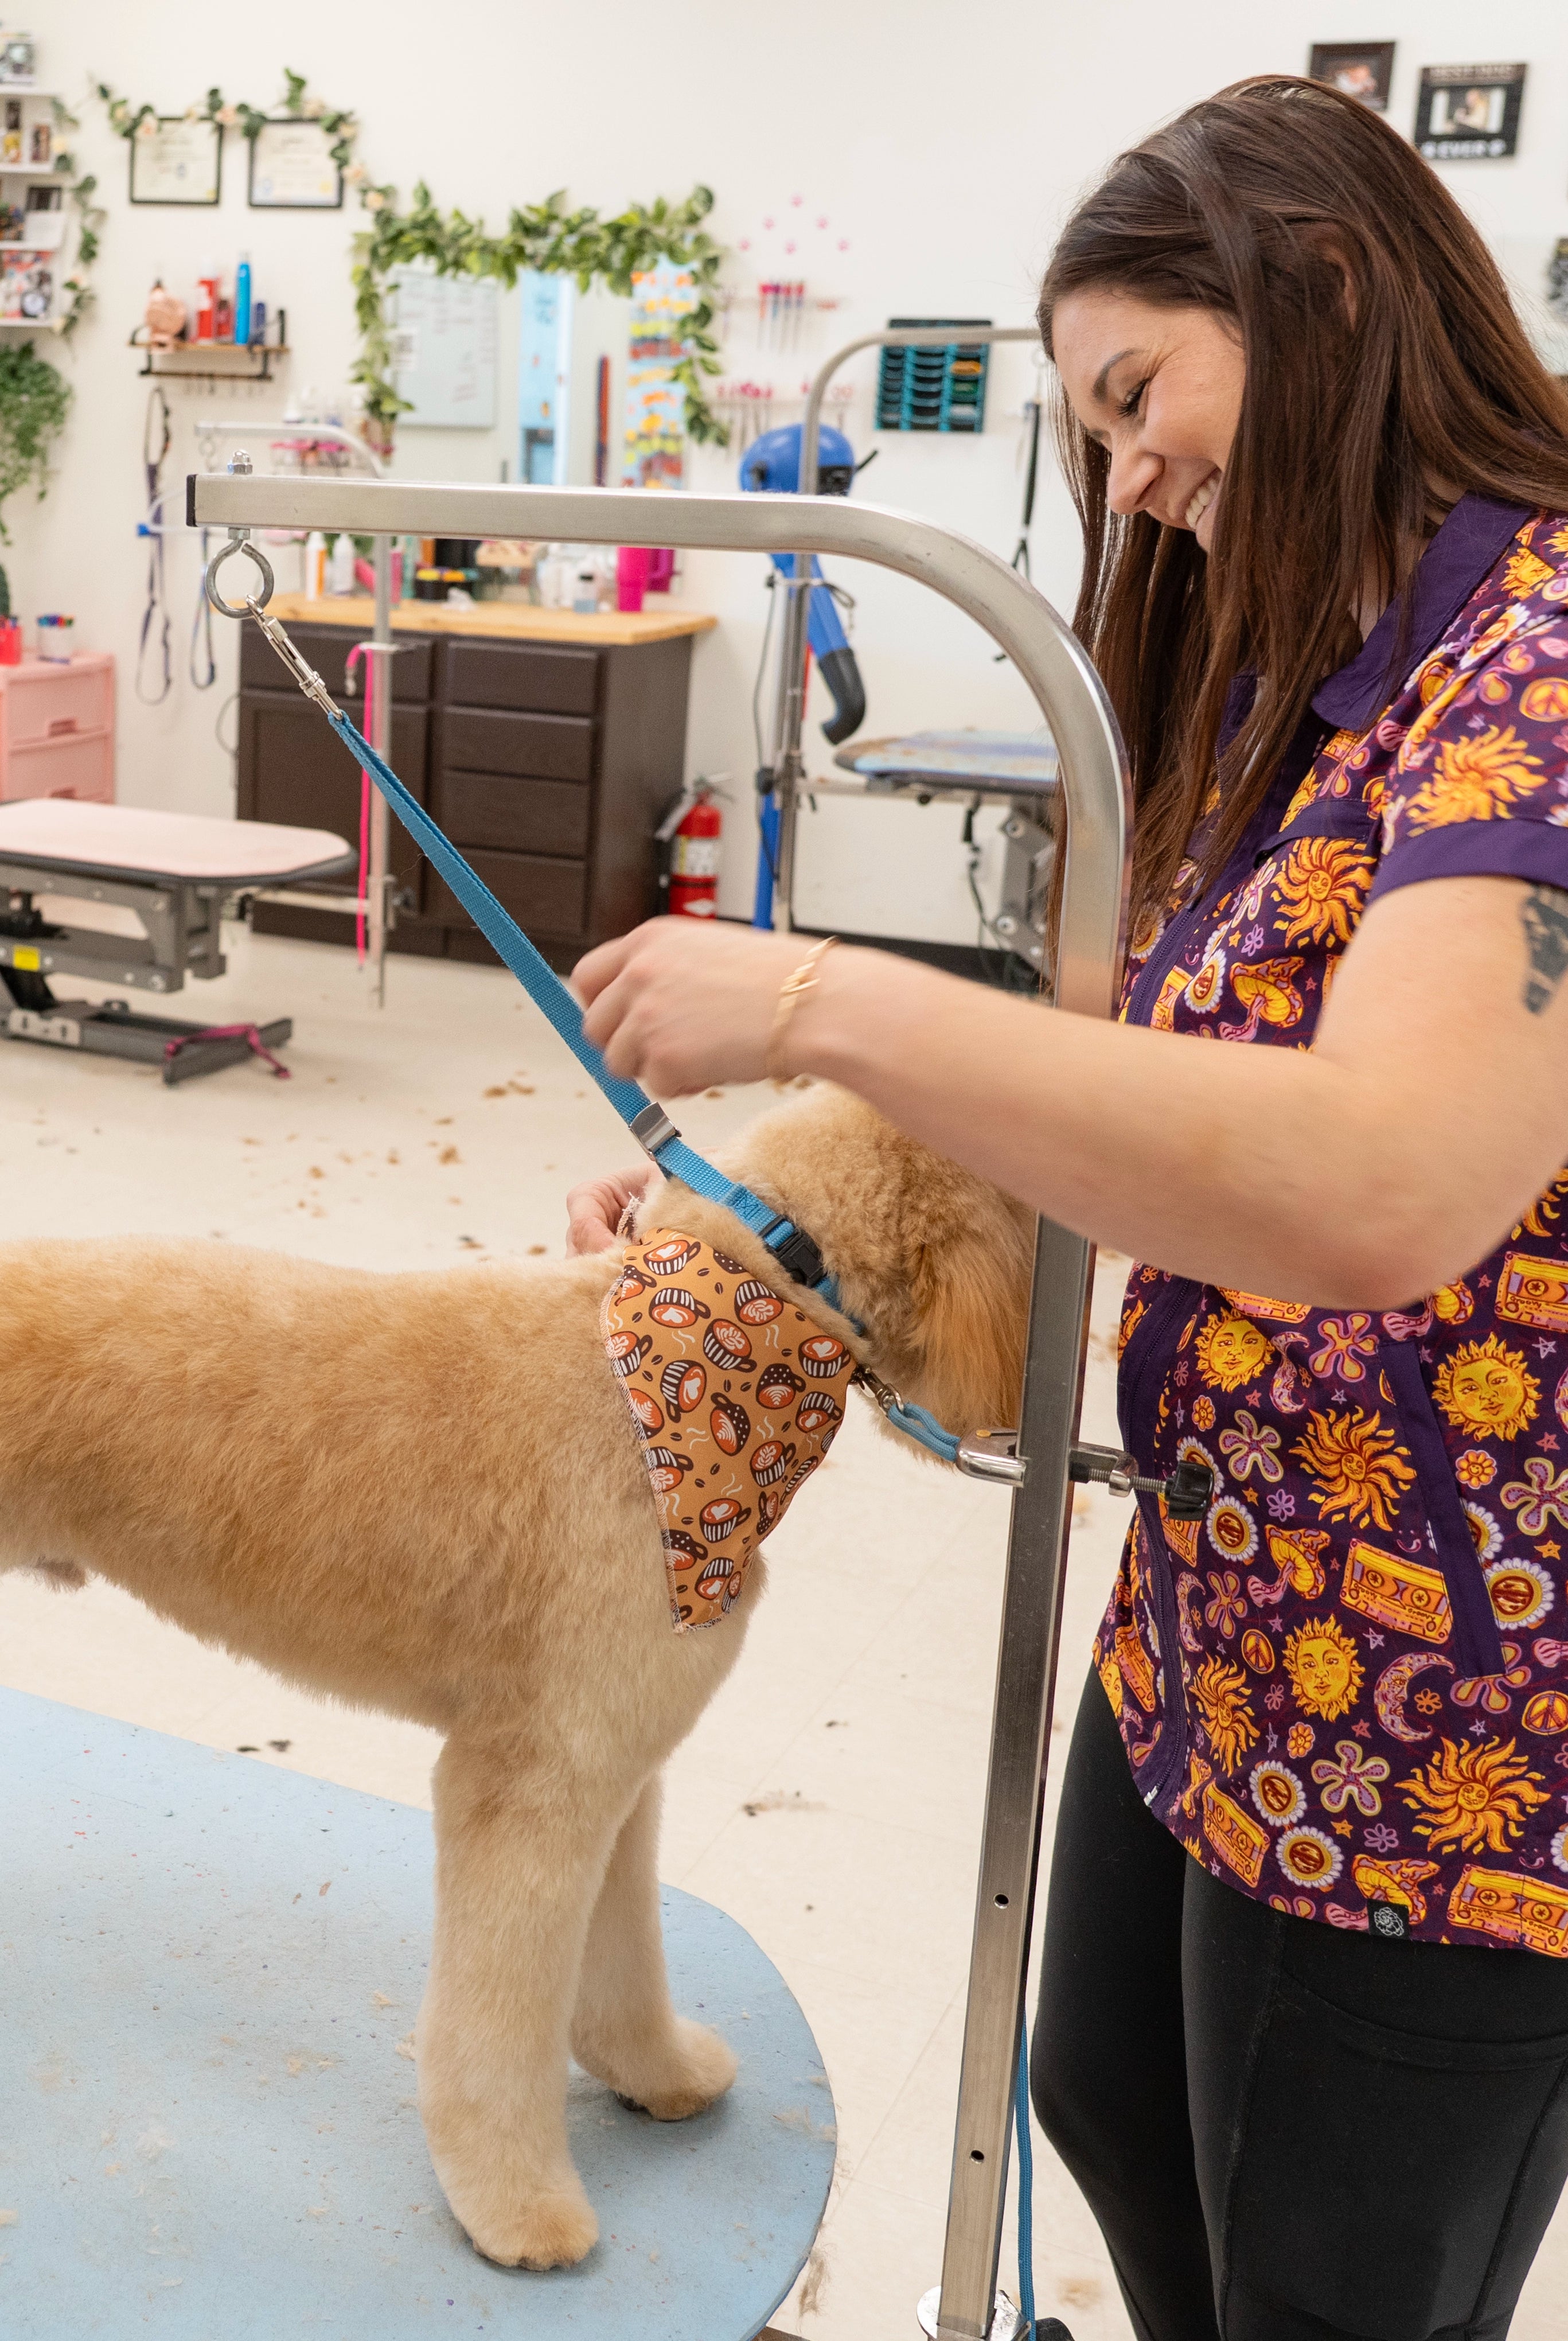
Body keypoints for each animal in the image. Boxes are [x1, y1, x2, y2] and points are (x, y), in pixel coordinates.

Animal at [0, 1082, 1033, 2270]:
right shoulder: (533, 1782)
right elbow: (499, 2017)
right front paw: (518, 2206)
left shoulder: (613, 1770)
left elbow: (618, 1963)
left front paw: (657, 2077)